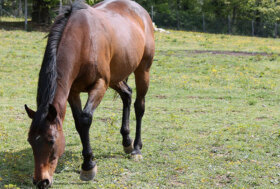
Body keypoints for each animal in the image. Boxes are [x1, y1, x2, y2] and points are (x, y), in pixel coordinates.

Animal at [24, 0, 155, 188]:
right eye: (30, 140)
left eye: (51, 140)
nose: (41, 181)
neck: (83, 40)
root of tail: (140, 11)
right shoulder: (73, 91)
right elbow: (79, 123)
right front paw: (88, 161)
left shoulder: (100, 85)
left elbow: (85, 119)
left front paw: (88, 166)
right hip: (116, 77)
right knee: (127, 95)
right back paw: (127, 142)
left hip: (142, 70)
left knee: (139, 106)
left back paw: (136, 148)